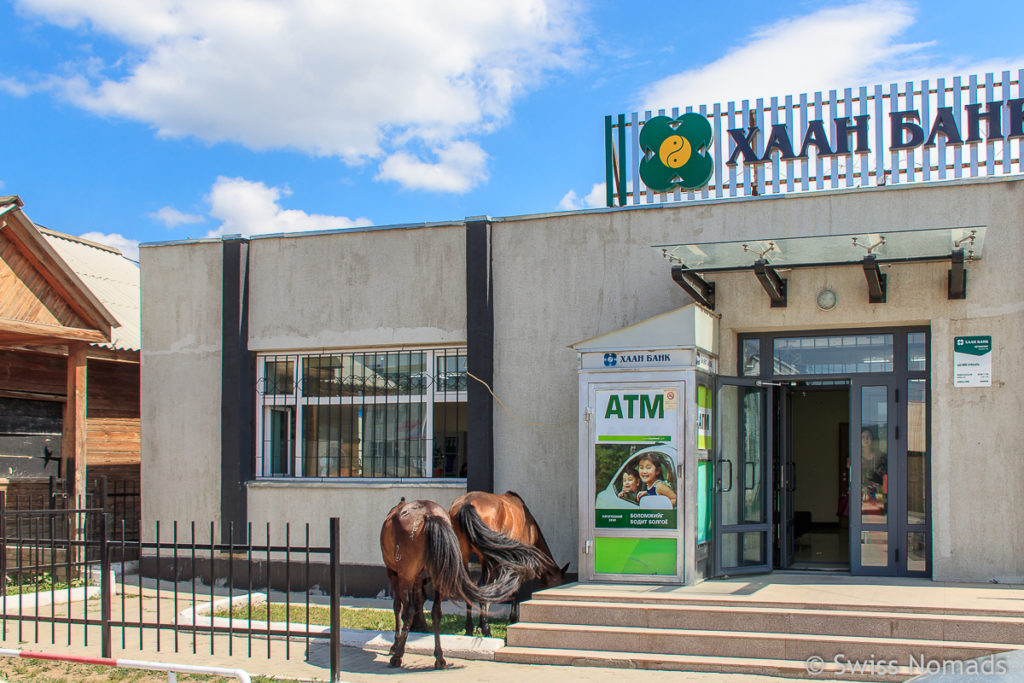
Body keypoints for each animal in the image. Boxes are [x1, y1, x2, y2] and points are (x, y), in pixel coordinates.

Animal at [378, 499, 532, 671]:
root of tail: (428, 515)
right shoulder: (417, 578)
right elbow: (419, 599)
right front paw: (420, 627)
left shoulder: (393, 573)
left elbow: (398, 607)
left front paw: (395, 644)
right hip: (438, 576)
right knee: (436, 612)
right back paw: (440, 657)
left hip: (407, 575)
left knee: (409, 610)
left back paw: (398, 656)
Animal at [452, 493, 573, 638]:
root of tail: (467, 503)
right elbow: (514, 588)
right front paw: (513, 618)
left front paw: (480, 626)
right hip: (486, 559)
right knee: (482, 587)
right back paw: (487, 630)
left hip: (463, 555)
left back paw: (469, 629)